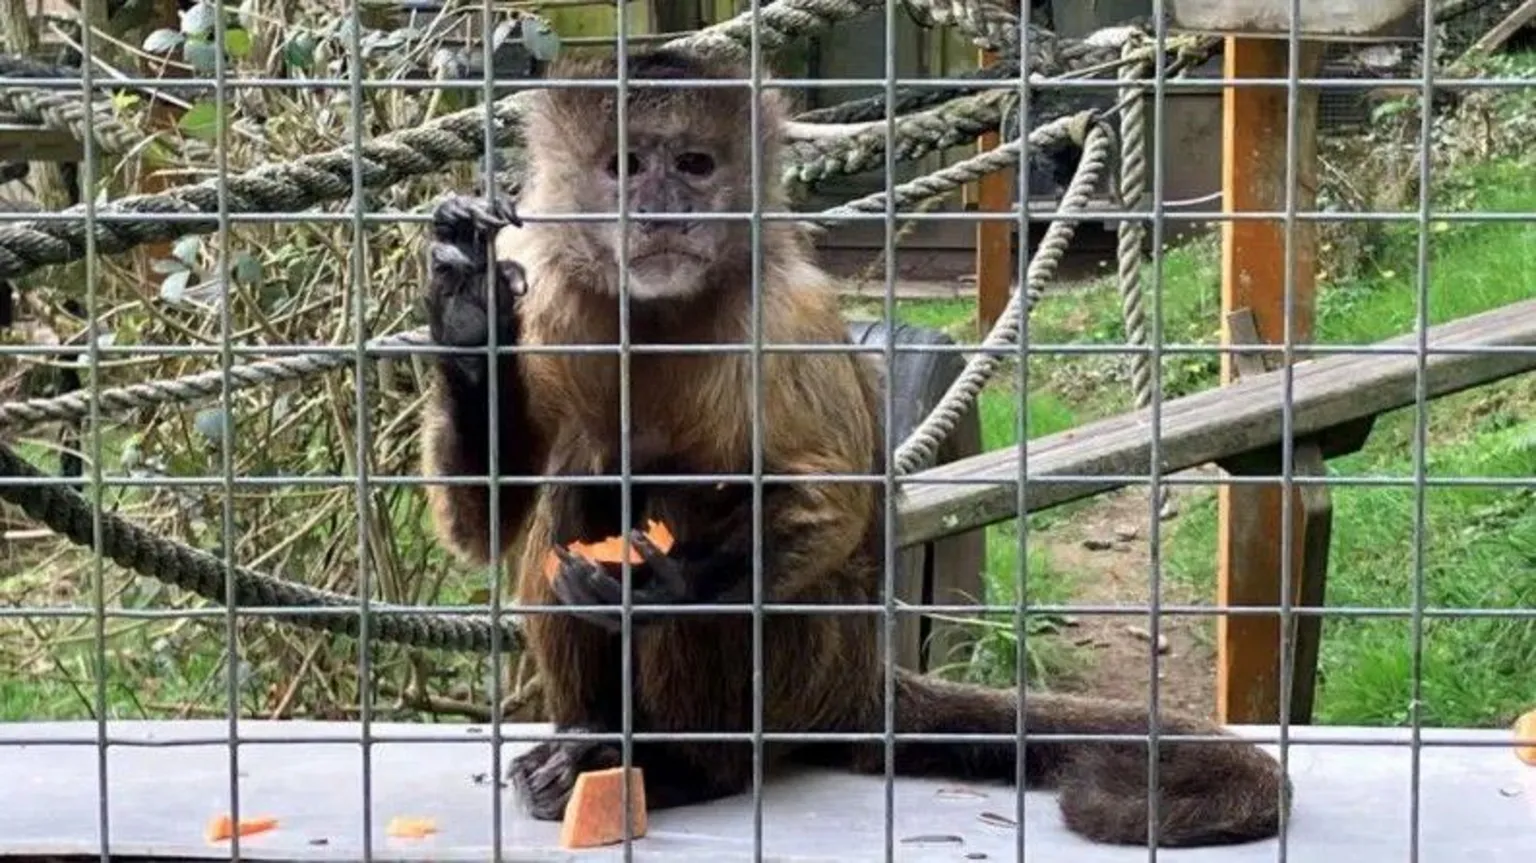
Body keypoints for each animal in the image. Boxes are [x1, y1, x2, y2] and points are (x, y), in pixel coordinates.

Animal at [417, 46, 1292, 848]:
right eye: (625, 166)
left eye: (694, 164)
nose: (662, 208)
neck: (656, 313)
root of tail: (854, 682)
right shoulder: (550, 291)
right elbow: (484, 523)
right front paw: (470, 314)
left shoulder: (785, 312)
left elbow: (830, 508)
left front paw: (661, 584)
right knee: (583, 474)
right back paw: (599, 739)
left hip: (807, 666)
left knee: (668, 484)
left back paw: (690, 765)